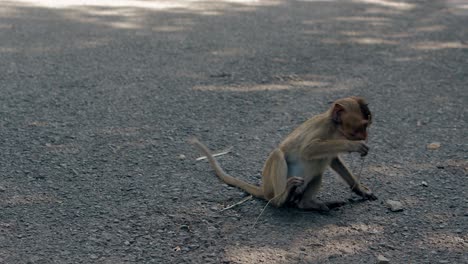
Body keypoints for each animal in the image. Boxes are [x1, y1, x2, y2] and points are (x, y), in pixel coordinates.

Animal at [190, 96, 376, 210]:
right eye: (362, 126)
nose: (366, 136)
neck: (335, 128)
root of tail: (264, 189)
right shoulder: (323, 129)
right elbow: (308, 149)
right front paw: (355, 146)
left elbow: (333, 160)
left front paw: (360, 189)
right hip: (272, 187)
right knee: (278, 154)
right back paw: (282, 198)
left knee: (318, 172)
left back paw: (307, 204)